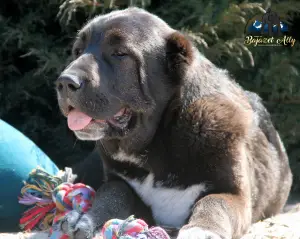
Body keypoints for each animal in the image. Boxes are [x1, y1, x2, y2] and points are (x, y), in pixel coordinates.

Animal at [55, 7, 292, 239]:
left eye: (120, 54)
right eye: (77, 51)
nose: (64, 82)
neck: (157, 145)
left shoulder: (234, 193)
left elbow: (214, 203)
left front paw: (201, 230)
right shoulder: (119, 182)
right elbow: (114, 192)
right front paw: (86, 217)